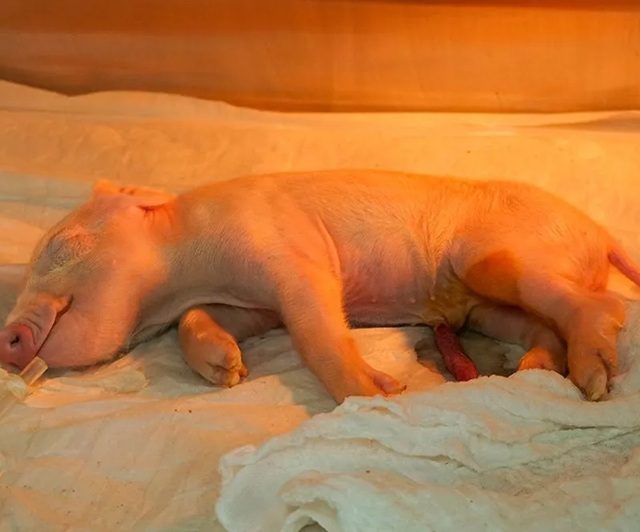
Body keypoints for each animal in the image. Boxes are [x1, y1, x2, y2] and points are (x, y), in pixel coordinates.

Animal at [1, 170, 639, 403]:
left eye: (60, 245)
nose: (7, 339)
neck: (186, 271)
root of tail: (601, 233)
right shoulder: (249, 305)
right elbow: (200, 322)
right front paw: (227, 372)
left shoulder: (288, 249)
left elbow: (315, 326)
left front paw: (380, 395)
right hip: (485, 309)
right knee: (540, 328)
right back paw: (530, 373)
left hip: (495, 258)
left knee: (603, 304)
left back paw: (593, 383)